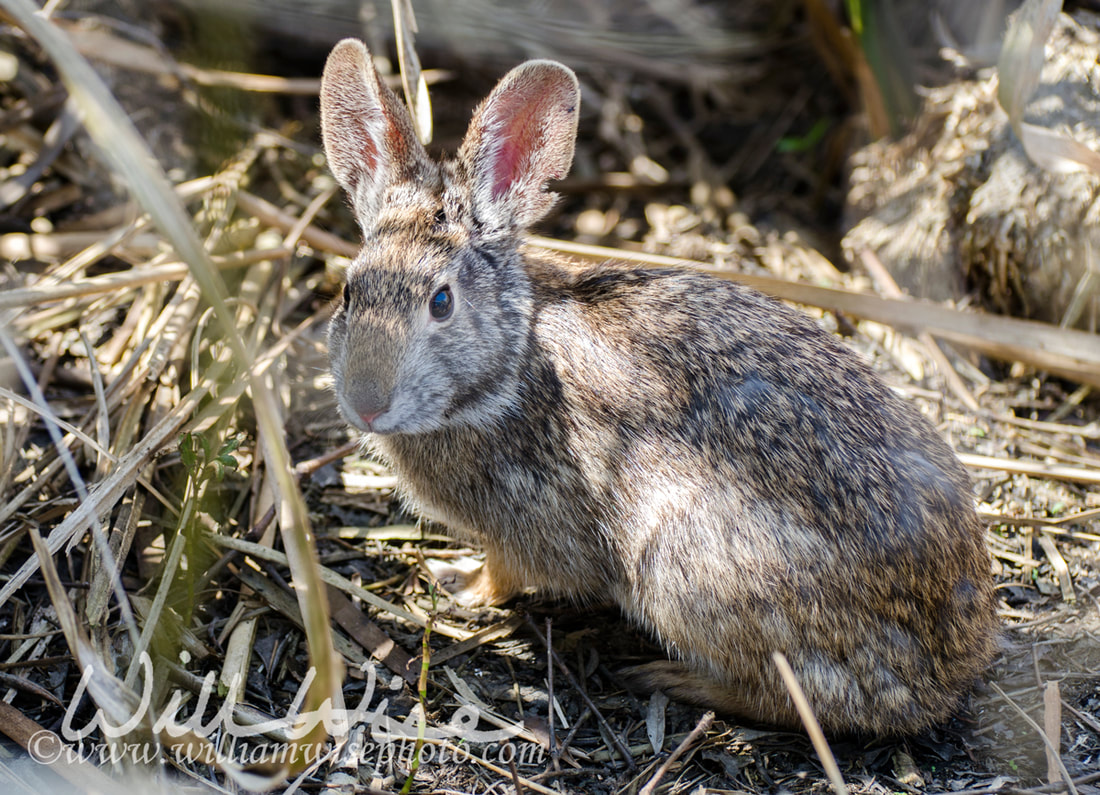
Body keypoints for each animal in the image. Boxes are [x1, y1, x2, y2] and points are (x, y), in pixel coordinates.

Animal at [316, 37, 998, 734]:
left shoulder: (523, 523)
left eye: (442, 302)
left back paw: (669, 677)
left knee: (788, 697)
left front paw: (459, 586)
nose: (366, 405)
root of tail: (944, 675)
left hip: (681, 564)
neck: (510, 360)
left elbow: (506, 573)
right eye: (348, 292)